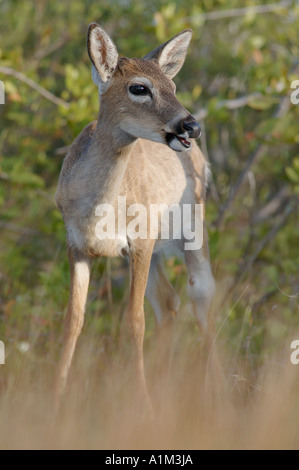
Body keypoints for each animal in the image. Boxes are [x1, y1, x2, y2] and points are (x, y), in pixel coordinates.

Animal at [55, 23, 216, 412]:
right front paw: (55, 399)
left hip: (194, 227)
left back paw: (217, 393)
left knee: (202, 295)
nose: (191, 126)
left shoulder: (139, 241)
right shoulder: (76, 246)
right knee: (169, 303)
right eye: (139, 88)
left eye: (173, 86)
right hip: (158, 249)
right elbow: (73, 320)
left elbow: (135, 320)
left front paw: (143, 406)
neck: (97, 211)